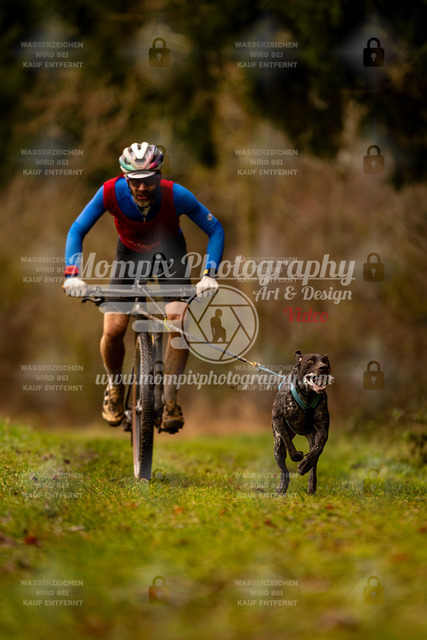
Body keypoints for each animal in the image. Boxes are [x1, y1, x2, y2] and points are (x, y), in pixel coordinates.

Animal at [272, 350, 333, 495]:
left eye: (325, 361)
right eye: (310, 361)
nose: (323, 367)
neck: (307, 395)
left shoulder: (322, 429)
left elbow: (317, 449)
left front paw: (305, 464)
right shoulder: (277, 417)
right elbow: (287, 441)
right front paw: (295, 456)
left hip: (312, 438)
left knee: (314, 462)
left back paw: (311, 483)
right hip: (277, 447)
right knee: (284, 470)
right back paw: (282, 487)